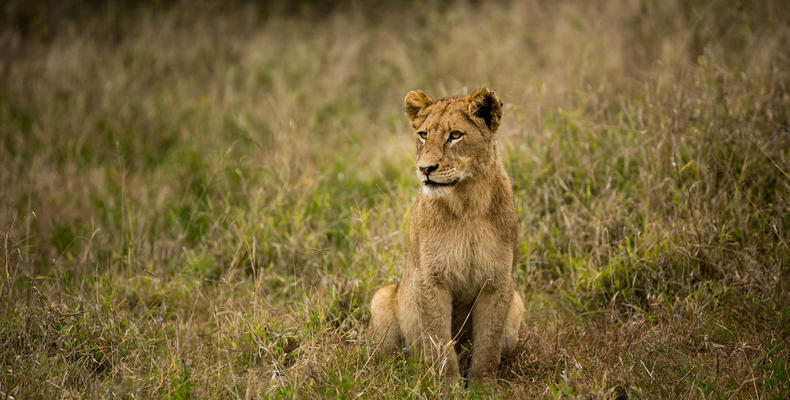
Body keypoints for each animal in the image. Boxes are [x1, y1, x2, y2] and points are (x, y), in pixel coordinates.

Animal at [370, 86, 524, 384]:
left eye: (455, 135)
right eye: (423, 135)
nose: (425, 169)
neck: (467, 204)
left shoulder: (498, 280)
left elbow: (488, 345)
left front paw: (482, 386)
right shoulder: (429, 278)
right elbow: (438, 341)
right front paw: (446, 386)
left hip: (517, 306)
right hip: (381, 298)